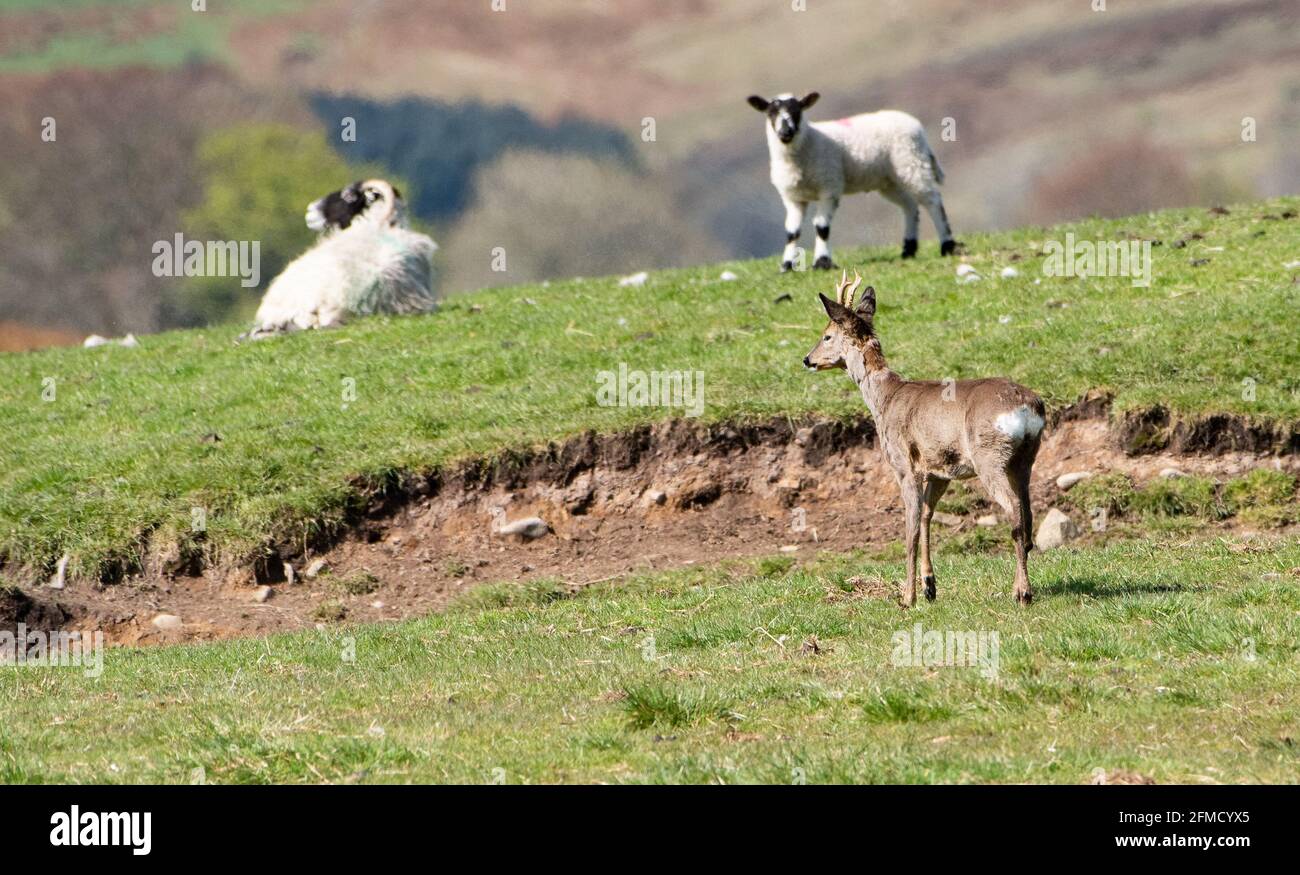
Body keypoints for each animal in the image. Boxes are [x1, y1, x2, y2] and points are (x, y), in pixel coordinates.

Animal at [748, 91, 951, 269]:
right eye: (771, 113)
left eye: (797, 111)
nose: (786, 132)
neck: (809, 143)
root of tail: (914, 123)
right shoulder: (792, 198)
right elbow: (792, 232)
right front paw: (787, 265)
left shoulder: (829, 187)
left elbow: (822, 227)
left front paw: (822, 262)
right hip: (890, 179)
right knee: (910, 205)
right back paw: (908, 250)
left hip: (912, 161)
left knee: (932, 201)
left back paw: (947, 245)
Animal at [800, 269, 1045, 603]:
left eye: (826, 335)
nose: (807, 359)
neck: (885, 398)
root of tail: (1027, 407)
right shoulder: (941, 468)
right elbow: (928, 514)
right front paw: (929, 585)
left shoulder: (904, 465)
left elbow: (911, 530)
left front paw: (908, 597)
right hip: (1026, 458)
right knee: (1028, 513)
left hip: (989, 456)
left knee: (1014, 511)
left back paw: (1021, 592)